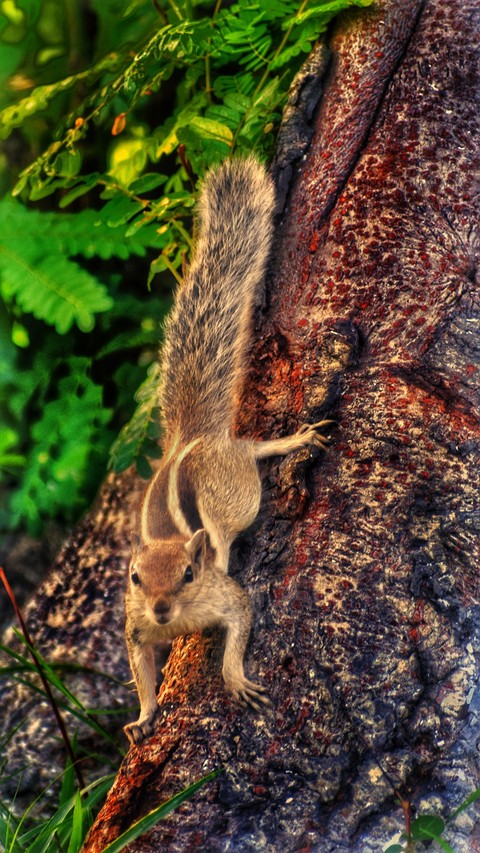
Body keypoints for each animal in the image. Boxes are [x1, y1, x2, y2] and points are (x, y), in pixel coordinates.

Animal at [124, 157, 329, 746]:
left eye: (189, 576)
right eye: (135, 579)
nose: (162, 609)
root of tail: (191, 440)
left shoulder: (226, 594)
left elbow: (240, 621)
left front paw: (235, 679)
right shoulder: (136, 627)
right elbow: (141, 670)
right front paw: (143, 717)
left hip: (238, 487)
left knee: (250, 449)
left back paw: (290, 440)